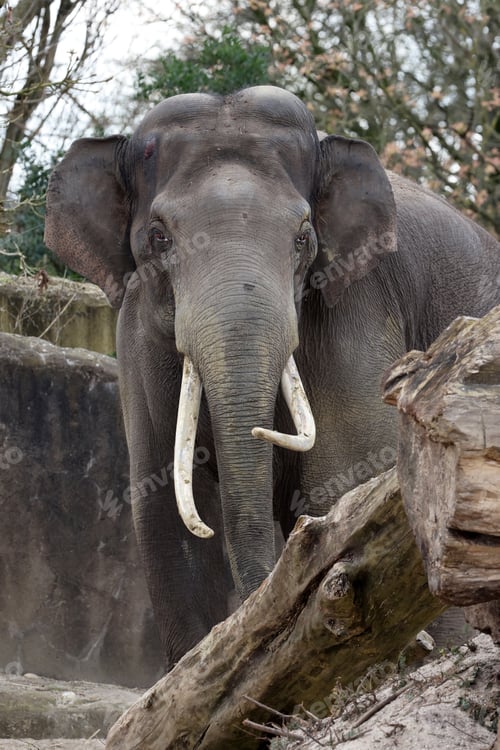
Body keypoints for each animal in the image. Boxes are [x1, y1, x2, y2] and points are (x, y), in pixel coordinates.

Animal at [44, 85, 500, 670]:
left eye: (304, 236)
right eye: (159, 236)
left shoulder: (357, 304)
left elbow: (348, 478)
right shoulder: (137, 329)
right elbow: (164, 504)